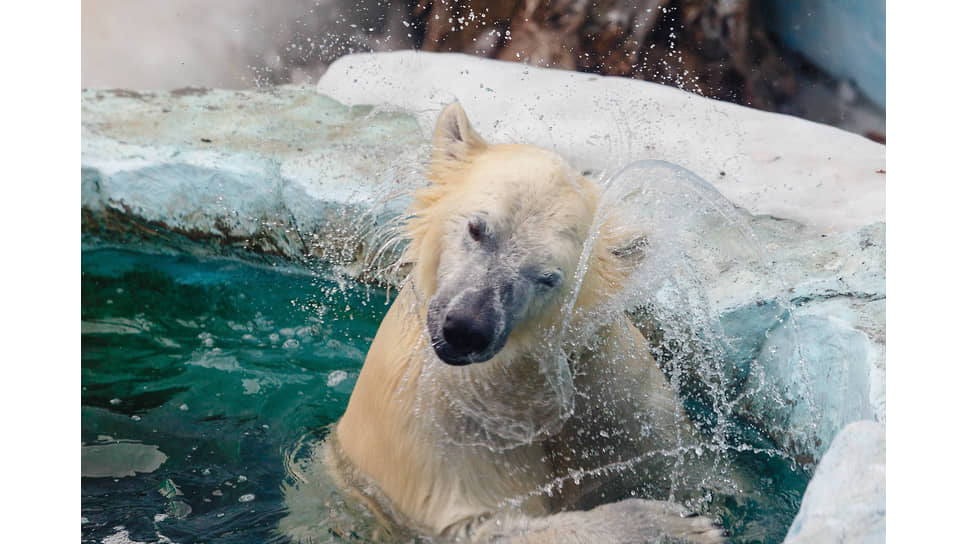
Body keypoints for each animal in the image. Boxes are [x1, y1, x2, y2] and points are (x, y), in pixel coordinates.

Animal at [284, 104, 728, 540]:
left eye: (548, 276)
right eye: (476, 228)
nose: (466, 329)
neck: (513, 382)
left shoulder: (608, 379)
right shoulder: (427, 418)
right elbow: (476, 524)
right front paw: (665, 525)